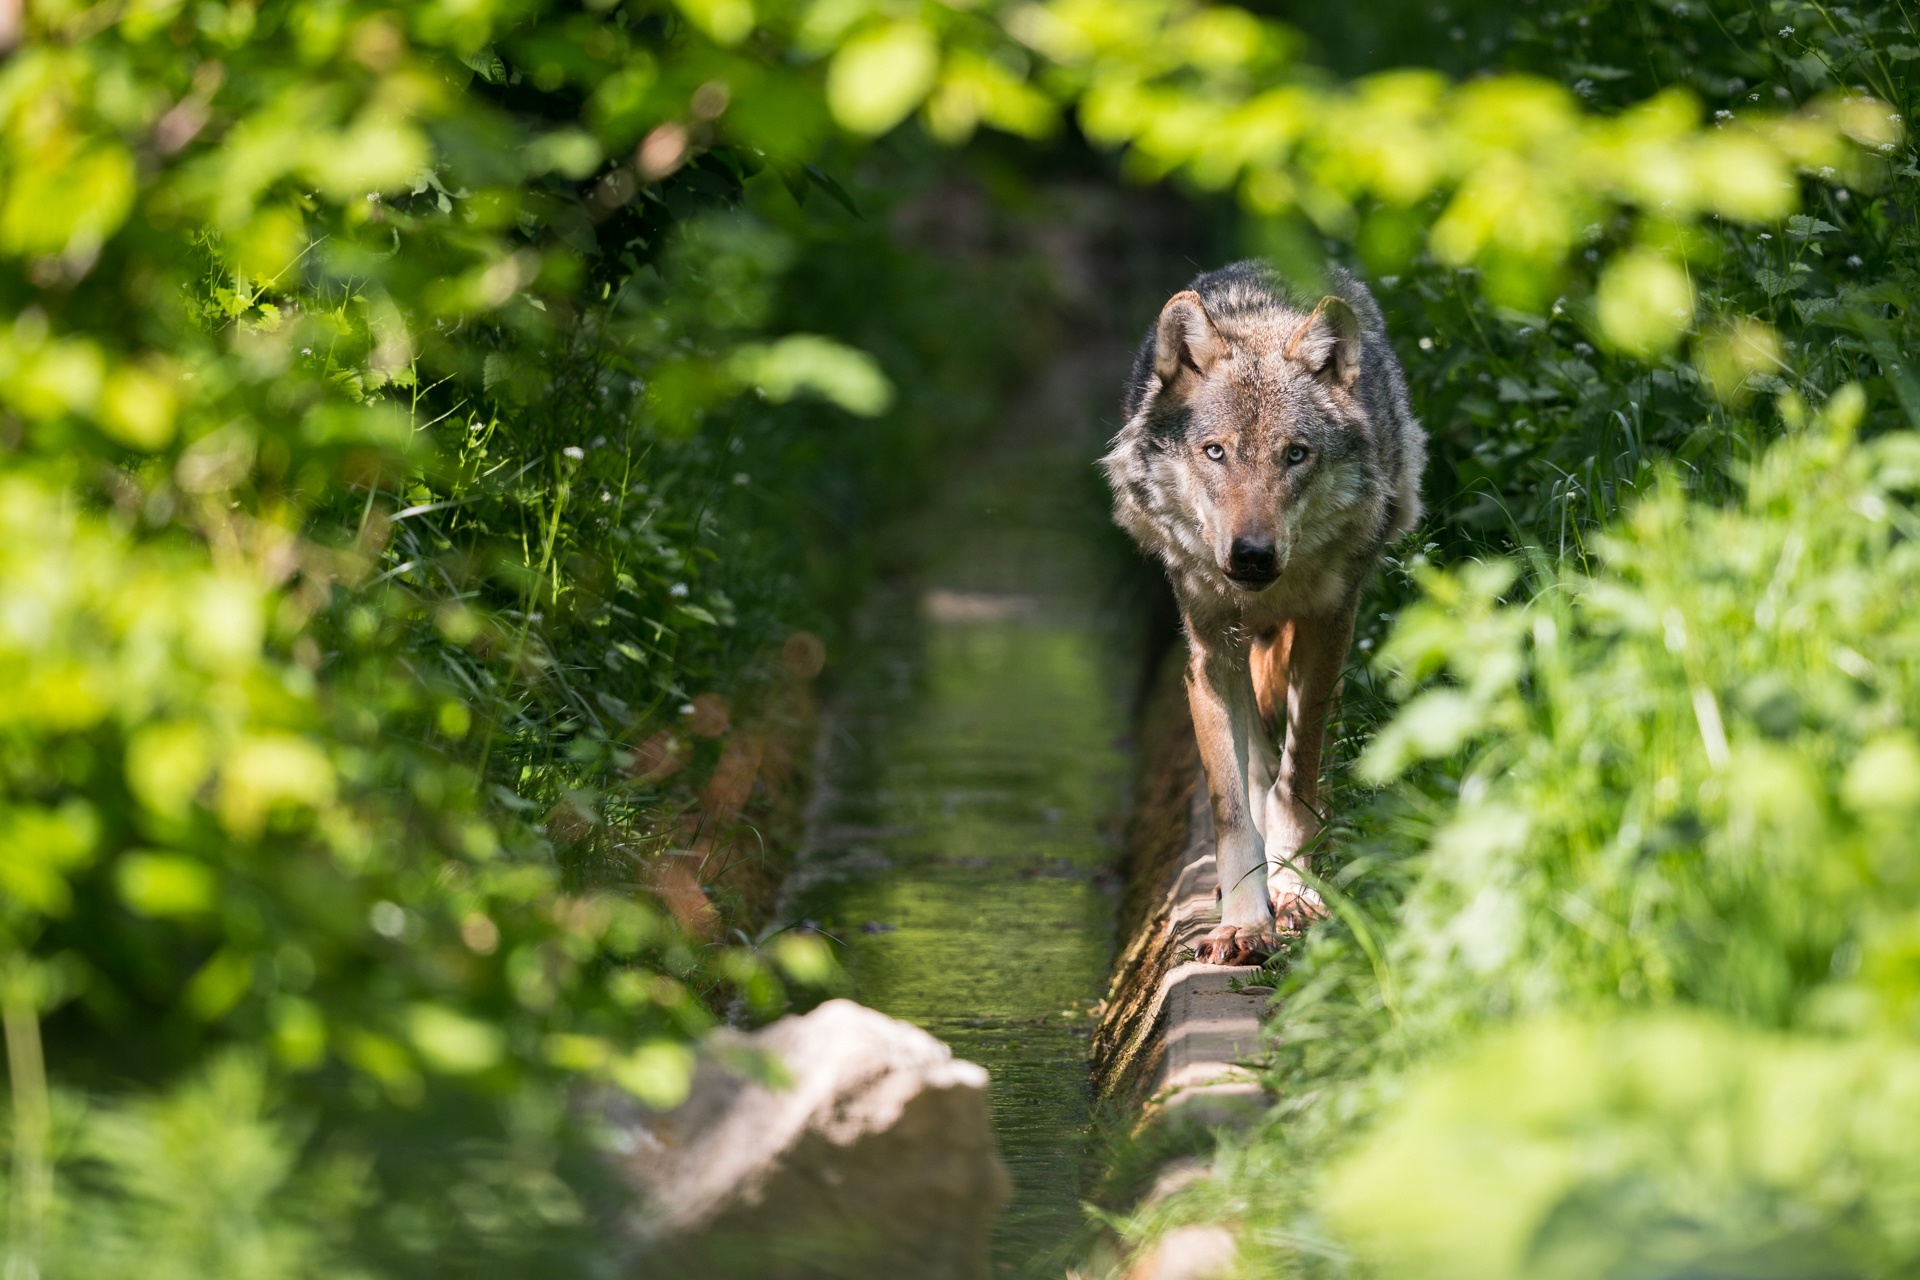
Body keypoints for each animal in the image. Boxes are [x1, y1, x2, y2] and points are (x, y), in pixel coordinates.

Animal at [1102, 261, 1425, 965]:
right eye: (1215, 452)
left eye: (1295, 454)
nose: (1251, 555)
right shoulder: (1206, 655)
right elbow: (1232, 807)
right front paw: (1246, 922)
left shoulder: (1328, 629)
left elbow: (1296, 777)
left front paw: (1296, 891)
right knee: (1252, 765)